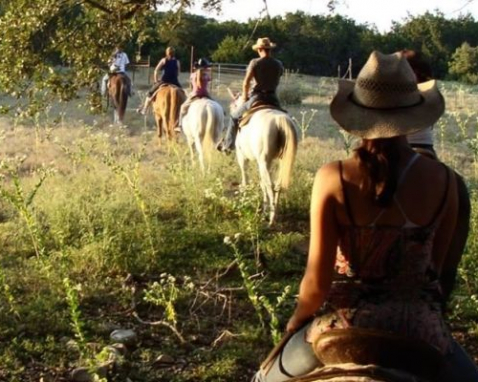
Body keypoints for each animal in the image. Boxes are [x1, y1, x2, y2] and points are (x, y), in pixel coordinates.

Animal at [228, 94, 298, 225]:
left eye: (233, 105)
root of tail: (279, 120)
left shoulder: (242, 158)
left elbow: (246, 181)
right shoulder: (262, 163)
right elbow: (262, 184)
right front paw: (264, 210)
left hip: (263, 162)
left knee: (270, 186)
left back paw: (271, 219)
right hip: (278, 162)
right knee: (277, 185)